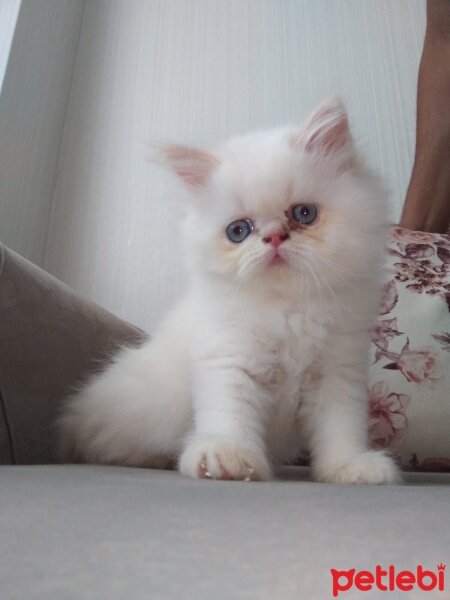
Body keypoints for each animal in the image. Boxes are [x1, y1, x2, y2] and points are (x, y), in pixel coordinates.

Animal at [59, 97, 398, 482]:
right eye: (238, 231)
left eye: (304, 214)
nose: (274, 237)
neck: (288, 308)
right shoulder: (229, 358)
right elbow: (230, 415)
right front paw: (226, 458)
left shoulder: (338, 372)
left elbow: (340, 428)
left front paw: (349, 466)